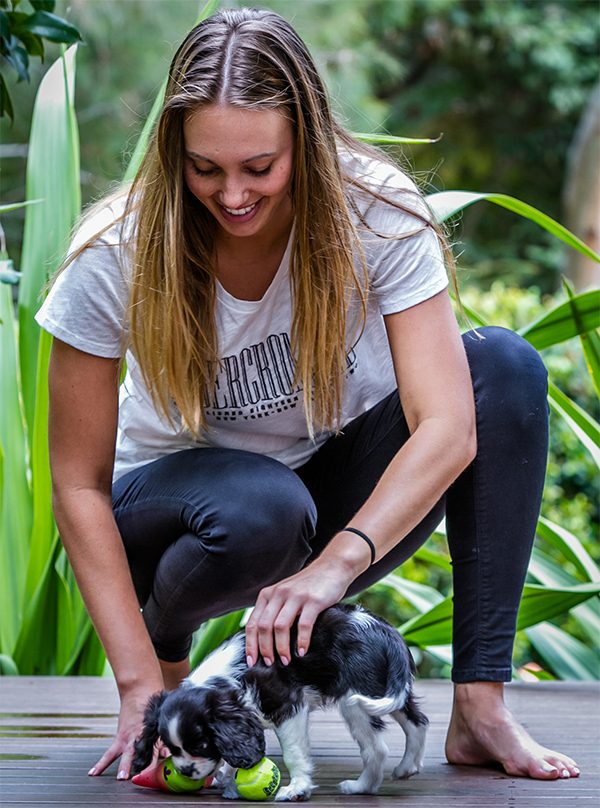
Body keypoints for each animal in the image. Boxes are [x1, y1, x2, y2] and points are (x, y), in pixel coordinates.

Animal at [134, 604, 428, 800]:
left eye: (202, 746)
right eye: (172, 748)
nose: (185, 771)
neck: (225, 677)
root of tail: (386, 631)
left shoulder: (286, 707)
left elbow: (293, 753)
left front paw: (297, 788)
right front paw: (228, 777)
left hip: (355, 698)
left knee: (376, 749)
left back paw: (360, 787)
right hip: (384, 690)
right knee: (418, 722)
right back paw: (407, 767)